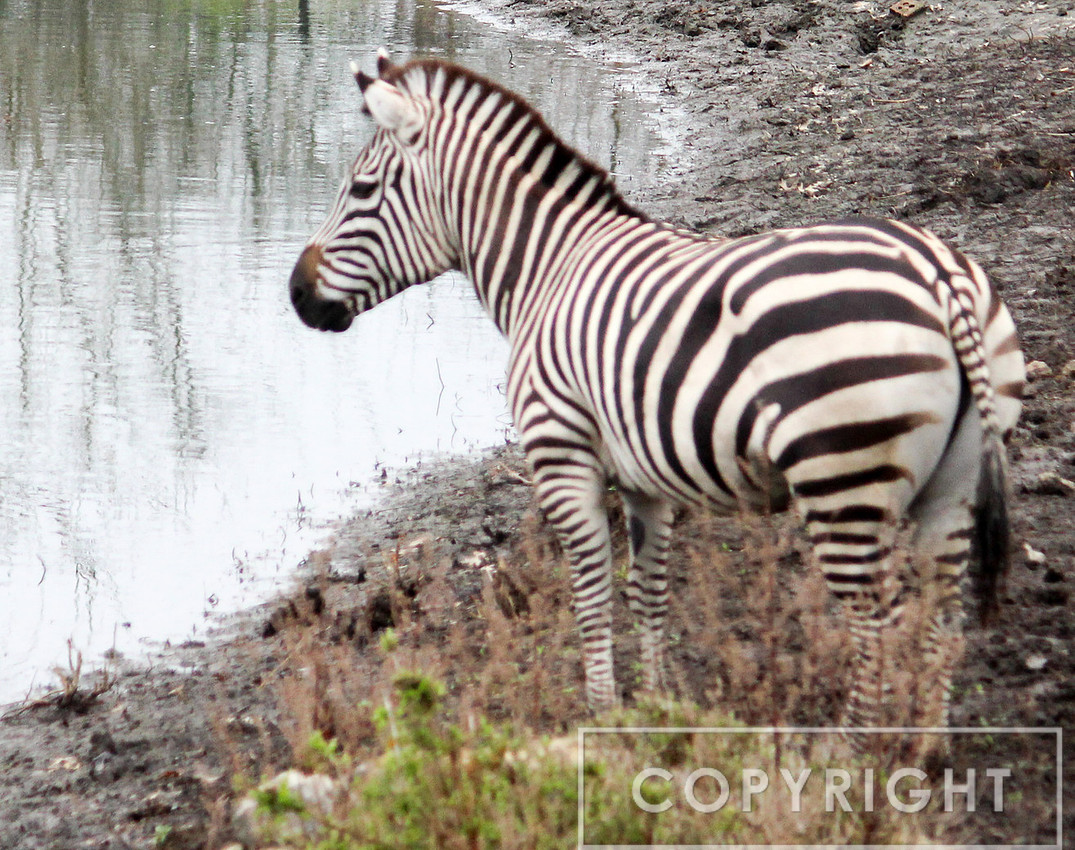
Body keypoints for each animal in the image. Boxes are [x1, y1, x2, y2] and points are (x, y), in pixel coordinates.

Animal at [289, 52, 1025, 729]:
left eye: (361, 189)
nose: (295, 294)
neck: (547, 270)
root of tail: (935, 274)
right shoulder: (646, 478)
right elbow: (648, 593)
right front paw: (655, 704)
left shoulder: (561, 456)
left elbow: (591, 595)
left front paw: (602, 716)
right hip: (952, 486)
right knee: (940, 620)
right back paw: (922, 756)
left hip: (840, 480)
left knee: (879, 626)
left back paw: (855, 753)